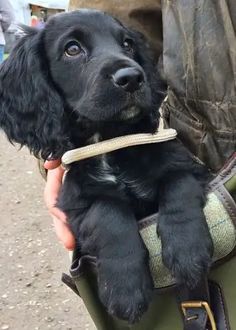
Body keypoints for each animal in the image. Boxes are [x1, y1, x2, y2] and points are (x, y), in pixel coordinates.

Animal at [0, 9, 213, 322]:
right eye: (72, 49)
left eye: (127, 44)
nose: (132, 78)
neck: (110, 142)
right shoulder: (79, 201)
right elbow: (108, 214)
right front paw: (124, 287)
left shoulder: (186, 164)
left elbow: (179, 187)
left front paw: (189, 251)